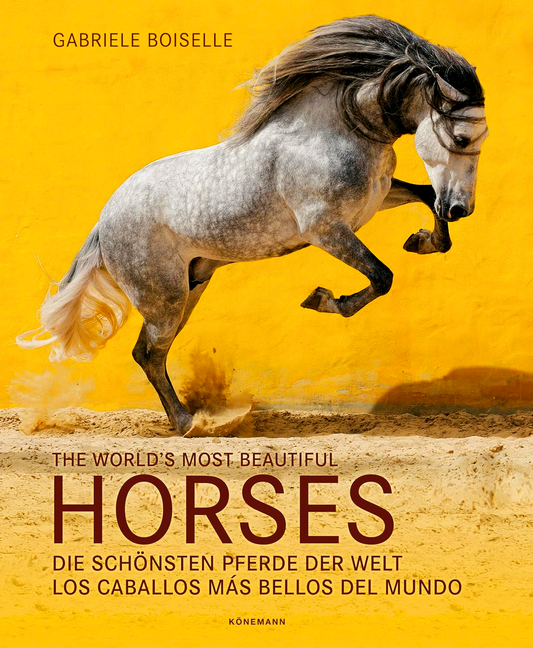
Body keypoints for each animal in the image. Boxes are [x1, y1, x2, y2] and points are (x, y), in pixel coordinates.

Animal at [17, 15, 489, 435]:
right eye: (461, 139)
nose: (462, 209)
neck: (336, 130)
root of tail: (105, 220)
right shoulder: (324, 228)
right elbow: (382, 276)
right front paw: (323, 300)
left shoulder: (374, 201)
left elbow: (425, 198)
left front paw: (423, 241)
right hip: (164, 298)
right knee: (148, 353)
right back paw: (189, 424)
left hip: (190, 287)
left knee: (149, 353)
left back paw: (189, 421)